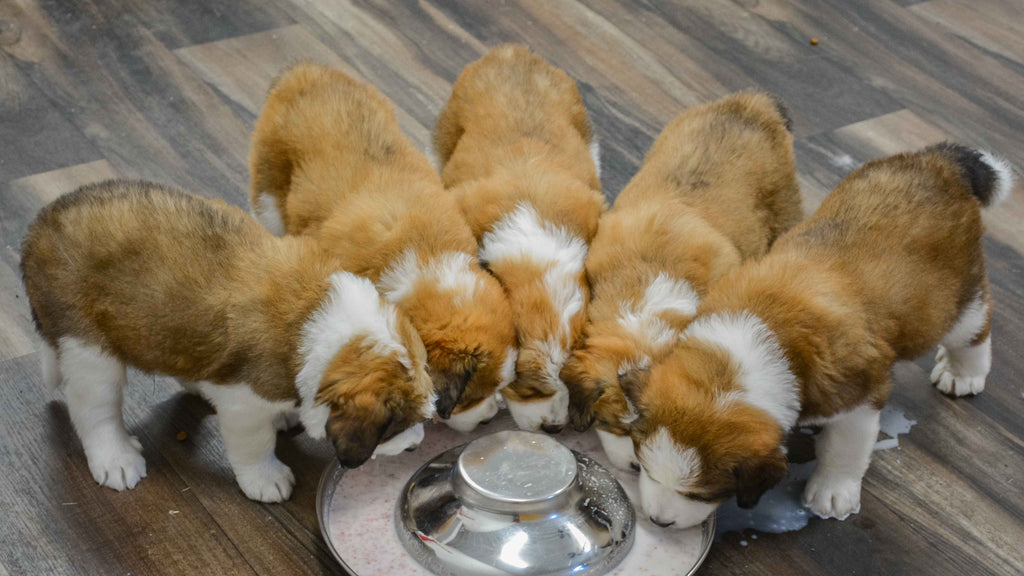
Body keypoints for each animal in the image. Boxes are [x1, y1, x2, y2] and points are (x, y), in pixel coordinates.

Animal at [23, 179, 432, 498]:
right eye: (395, 427)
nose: (417, 445)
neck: (315, 314)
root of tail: (37, 229)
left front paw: (285, 415)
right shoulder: (244, 402)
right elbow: (255, 442)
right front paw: (265, 477)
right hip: (88, 348)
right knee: (94, 409)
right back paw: (115, 457)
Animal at [626, 142, 1011, 524]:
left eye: (701, 494)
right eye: (644, 466)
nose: (659, 520)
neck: (748, 345)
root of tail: (940, 161)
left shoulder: (858, 397)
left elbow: (844, 447)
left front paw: (833, 491)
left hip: (954, 299)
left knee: (975, 327)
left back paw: (962, 372)